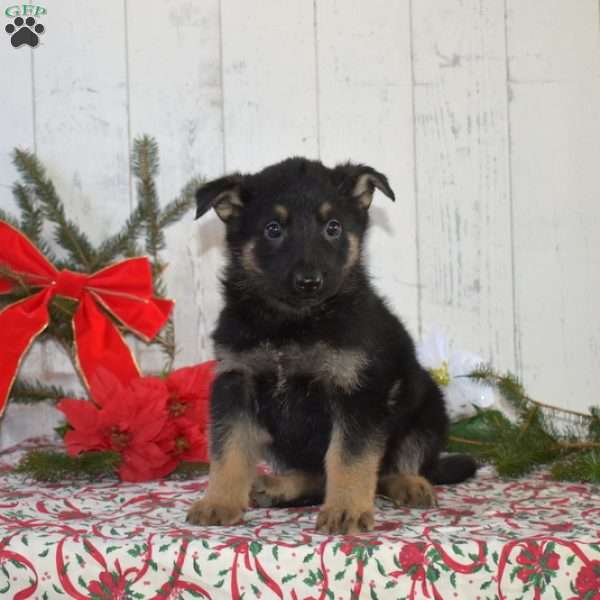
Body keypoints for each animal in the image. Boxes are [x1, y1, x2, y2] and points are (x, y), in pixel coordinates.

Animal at [188, 157, 478, 532]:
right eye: (272, 229)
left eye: (333, 227)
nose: (309, 281)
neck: (293, 323)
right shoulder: (236, 381)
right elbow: (229, 450)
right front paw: (220, 501)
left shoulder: (356, 389)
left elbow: (348, 457)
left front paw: (346, 510)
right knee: (318, 475)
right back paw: (279, 486)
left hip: (427, 405)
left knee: (393, 466)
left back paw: (409, 483)